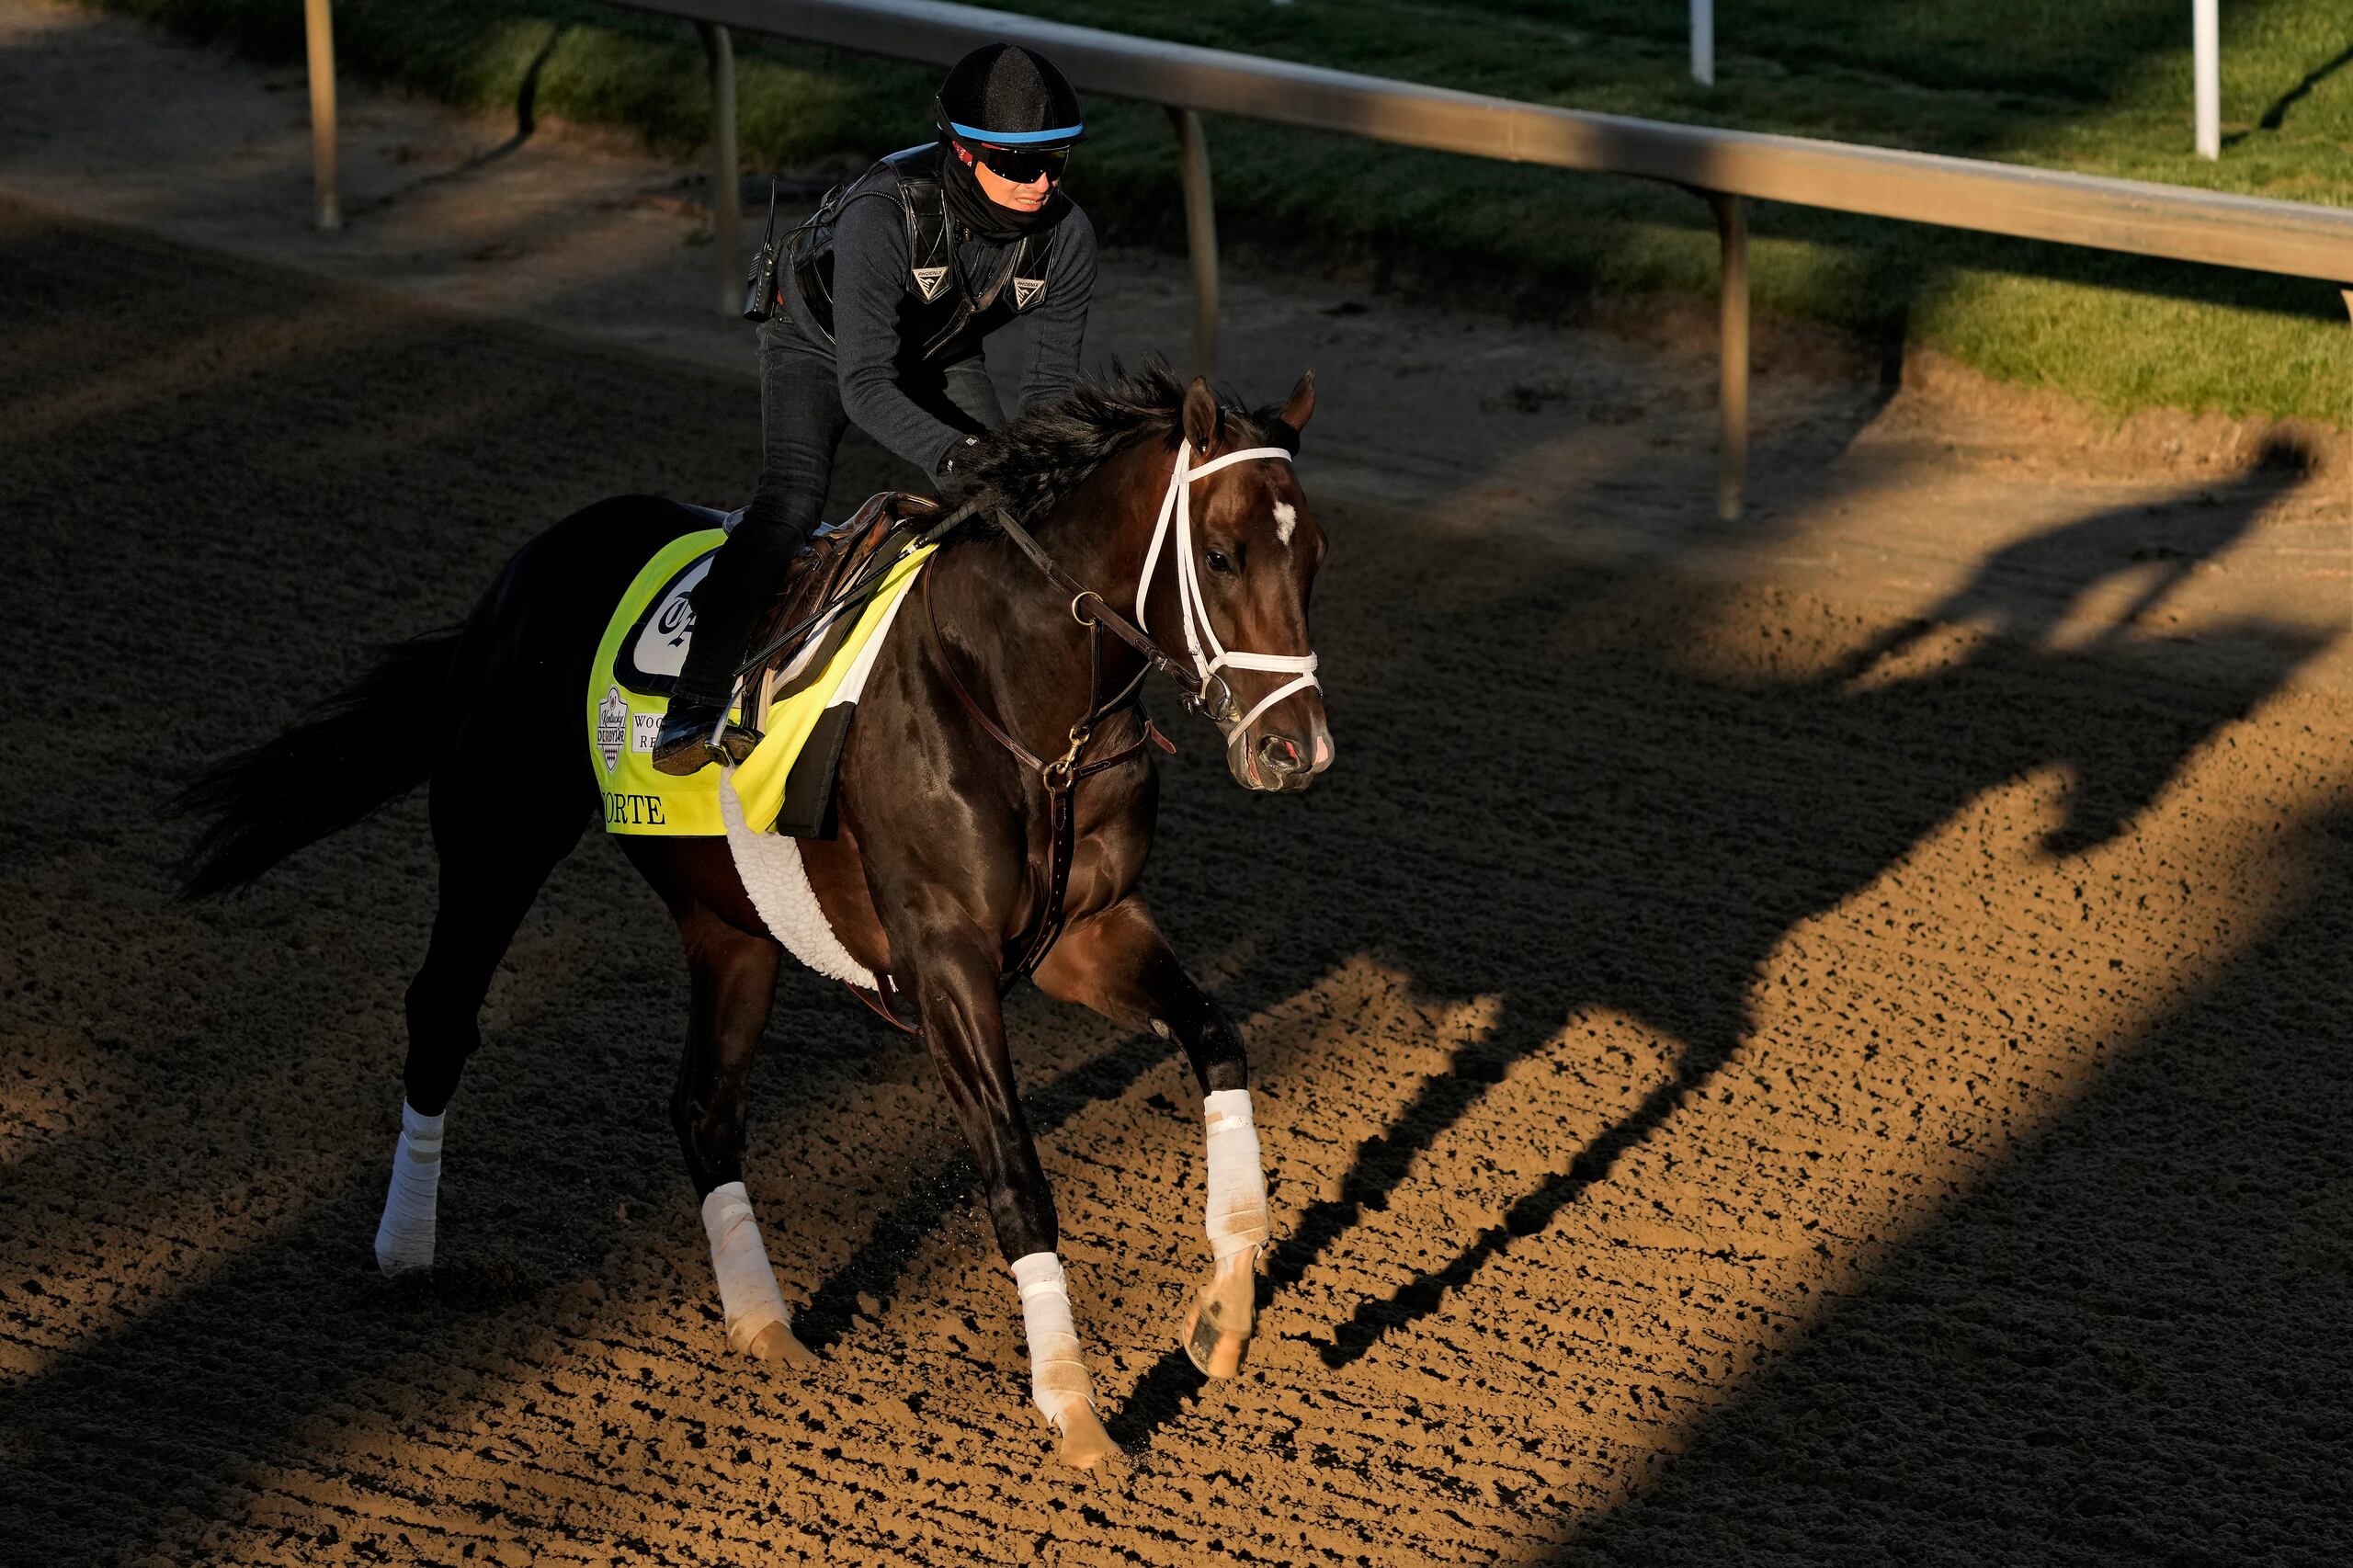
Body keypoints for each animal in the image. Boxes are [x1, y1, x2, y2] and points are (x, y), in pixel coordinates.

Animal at [174, 369, 1326, 1469]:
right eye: (1220, 554)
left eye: (1312, 556)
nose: (1295, 750)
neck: (1014, 697)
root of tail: (523, 570)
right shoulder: (944, 956)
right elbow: (1014, 1171)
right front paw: (1075, 1410)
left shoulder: (1084, 932)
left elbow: (1217, 1039)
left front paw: (1225, 1306)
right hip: (498, 835)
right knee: (443, 1014)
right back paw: (405, 1251)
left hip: (730, 925)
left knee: (703, 1104)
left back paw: (764, 1324)